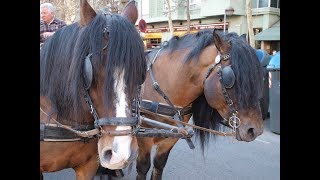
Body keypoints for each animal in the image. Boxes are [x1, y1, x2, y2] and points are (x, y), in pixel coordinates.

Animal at [136, 28, 264, 179]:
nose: (255, 130)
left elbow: (159, 166)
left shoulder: (170, 140)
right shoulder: (143, 139)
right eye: (230, 79)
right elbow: (142, 168)